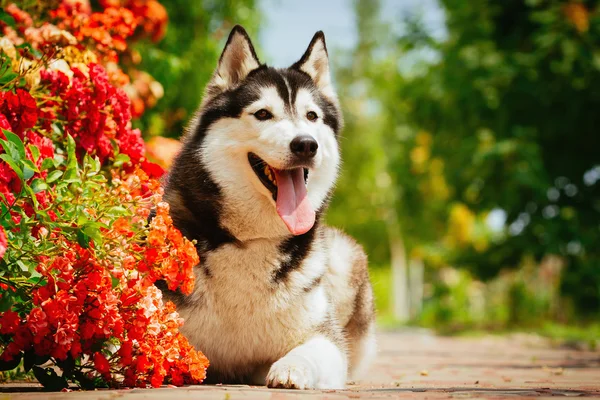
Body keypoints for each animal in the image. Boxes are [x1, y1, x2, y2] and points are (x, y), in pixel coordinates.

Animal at [161, 25, 376, 390]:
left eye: (312, 116)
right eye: (263, 114)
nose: (306, 144)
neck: (252, 241)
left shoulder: (327, 341)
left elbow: (315, 350)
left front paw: (293, 367)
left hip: (345, 254)